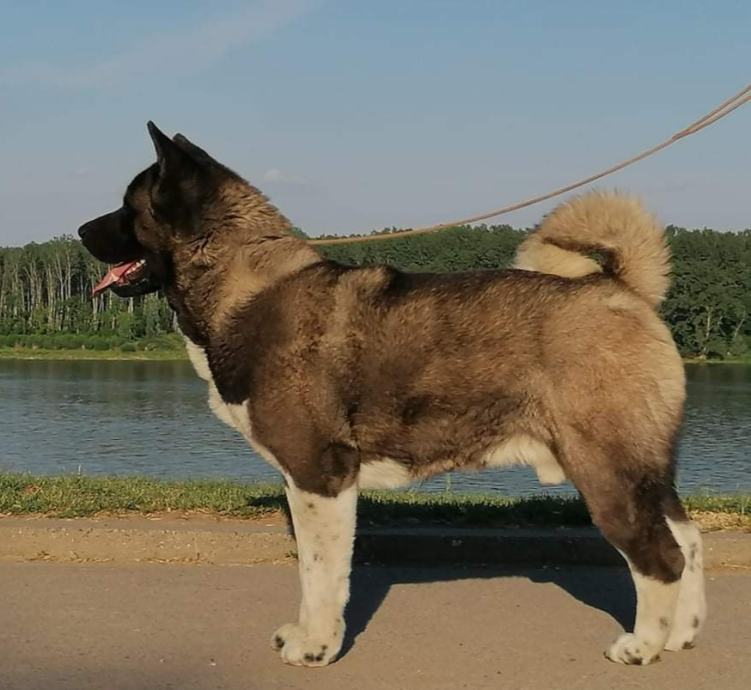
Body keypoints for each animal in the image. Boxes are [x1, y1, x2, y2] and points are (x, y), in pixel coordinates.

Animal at [78, 122, 706, 668]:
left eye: (129, 206)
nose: (81, 231)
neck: (245, 283)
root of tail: (622, 289)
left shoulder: (320, 474)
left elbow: (322, 574)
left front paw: (316, 647)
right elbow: (310, 570)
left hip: (606, 472)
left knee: (660, 556)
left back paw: (643, 646)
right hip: (644, 472)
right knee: (688, 538)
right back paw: (682, 634)